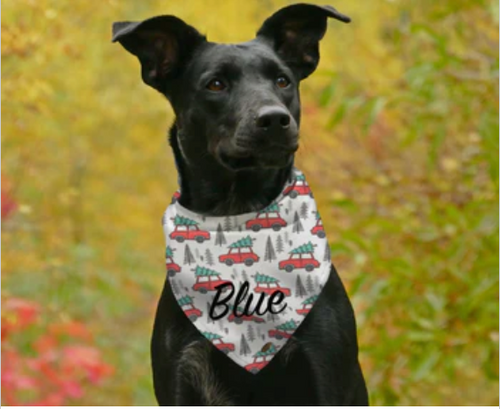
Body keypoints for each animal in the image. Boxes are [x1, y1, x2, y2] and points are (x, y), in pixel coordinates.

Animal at [114, 3, 368, 404]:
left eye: (282, 81)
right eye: (215, 84)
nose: (274, 119)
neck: (236, 211)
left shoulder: (326, 373)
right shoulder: (181, 373)